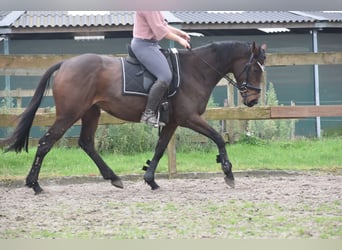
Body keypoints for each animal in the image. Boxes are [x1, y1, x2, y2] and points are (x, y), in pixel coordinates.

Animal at [3, 40, 268, 194]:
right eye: (256, 68)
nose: (253, 100)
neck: (195, 71)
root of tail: (65, 64)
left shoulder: (172, 122)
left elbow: (160, 148)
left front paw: (150, 179)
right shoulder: (188, 118)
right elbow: (218, 138)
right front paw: (228, 173)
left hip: (91, 112)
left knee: (86, 143)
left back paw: (114, 178)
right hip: (69, 113)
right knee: (46, 143)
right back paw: (35, 184)